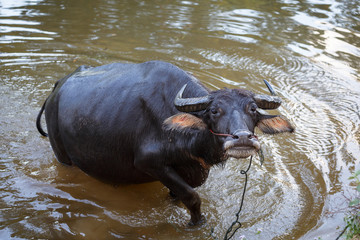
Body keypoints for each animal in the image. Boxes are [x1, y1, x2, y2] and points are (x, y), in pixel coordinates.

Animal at [36, 61, 294, 226]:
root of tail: (56, 89)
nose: (242, 138)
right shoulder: (150, 163)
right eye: (214, 110)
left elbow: (179, 195)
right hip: (62, 156)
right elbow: (192, 197)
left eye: (253, 109)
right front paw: (197, 223)